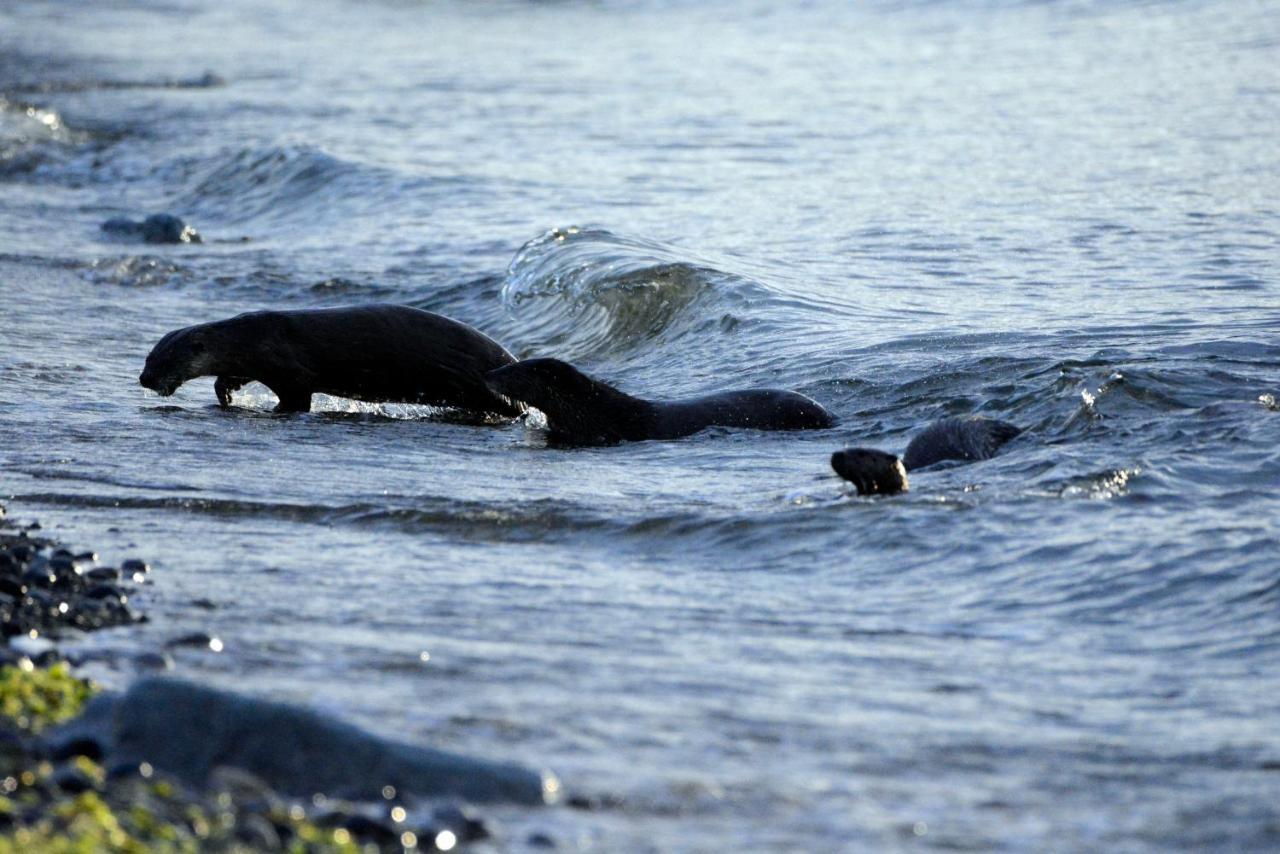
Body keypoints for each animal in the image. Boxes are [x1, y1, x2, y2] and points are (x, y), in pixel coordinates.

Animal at [137, 303, 522, 417]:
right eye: (148, 357)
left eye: (166, 360)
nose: (144, 378)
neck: (251, 338)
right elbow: (229, 378)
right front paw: (226, 395)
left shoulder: (289, 370)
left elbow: (297, 397)